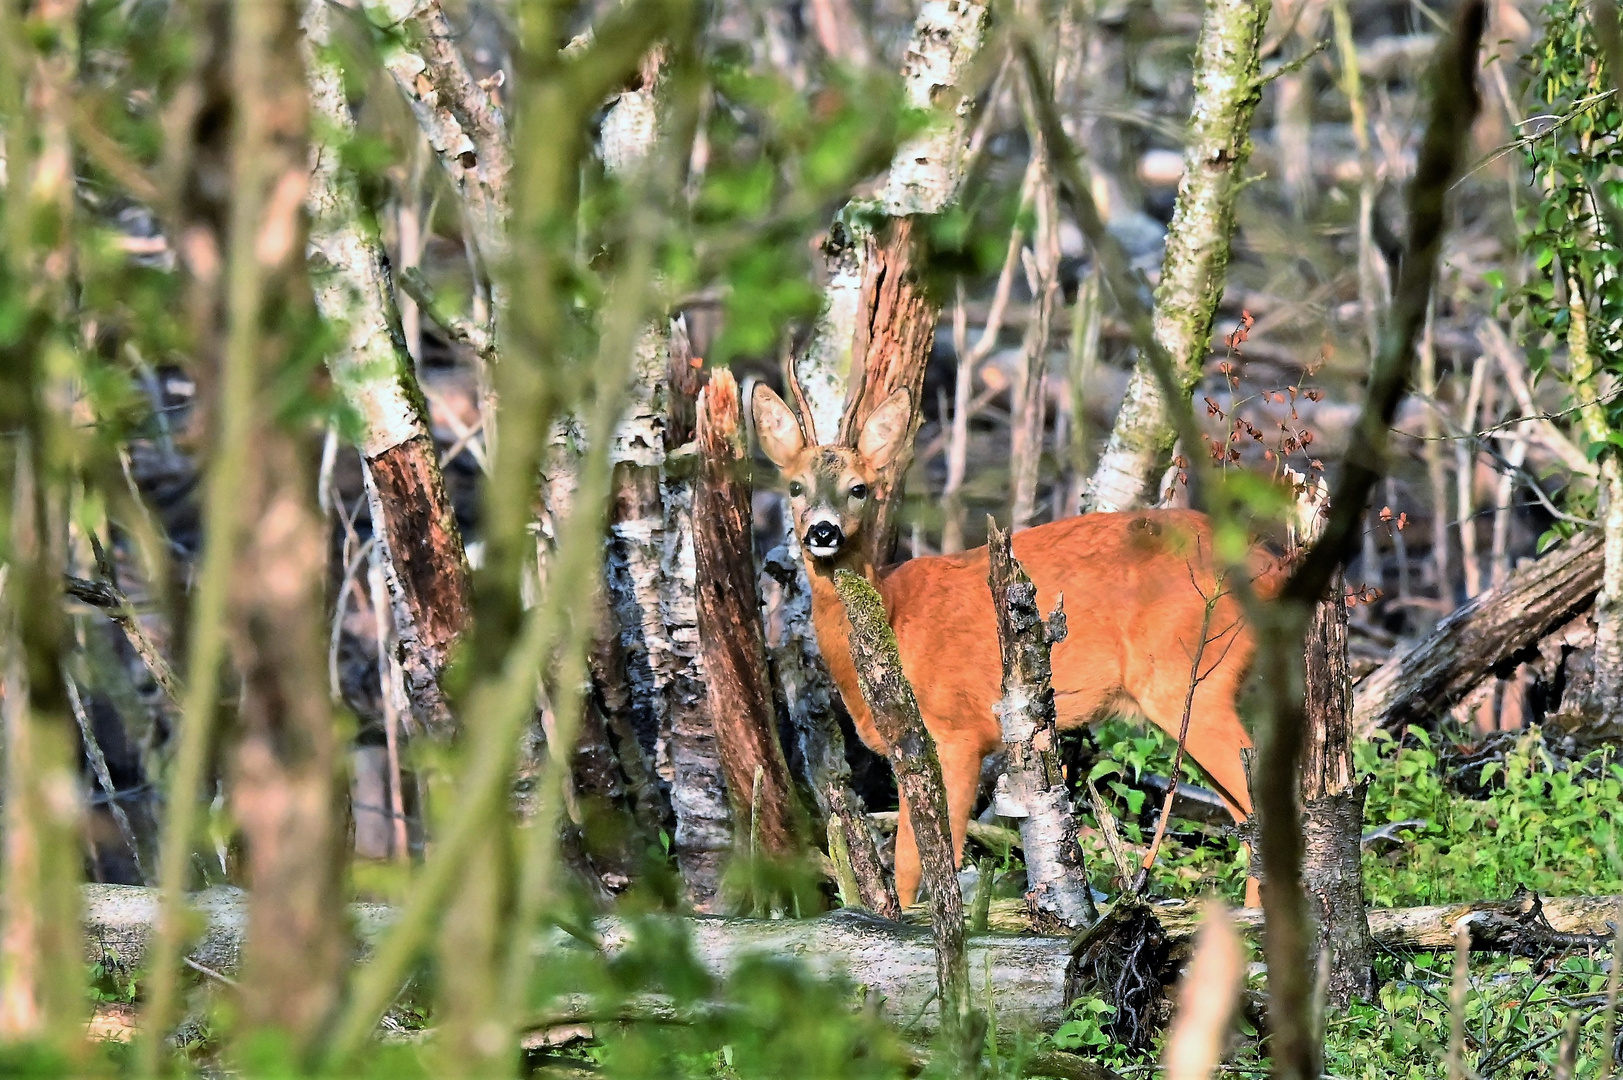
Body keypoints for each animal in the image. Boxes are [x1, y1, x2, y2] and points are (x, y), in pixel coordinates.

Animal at [753, 383, 1259, 902]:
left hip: (1189, 677)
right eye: (795, 486)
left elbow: (928, 860)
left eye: (859, 488)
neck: (893, 617)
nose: (823, 531)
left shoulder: (956, 732)